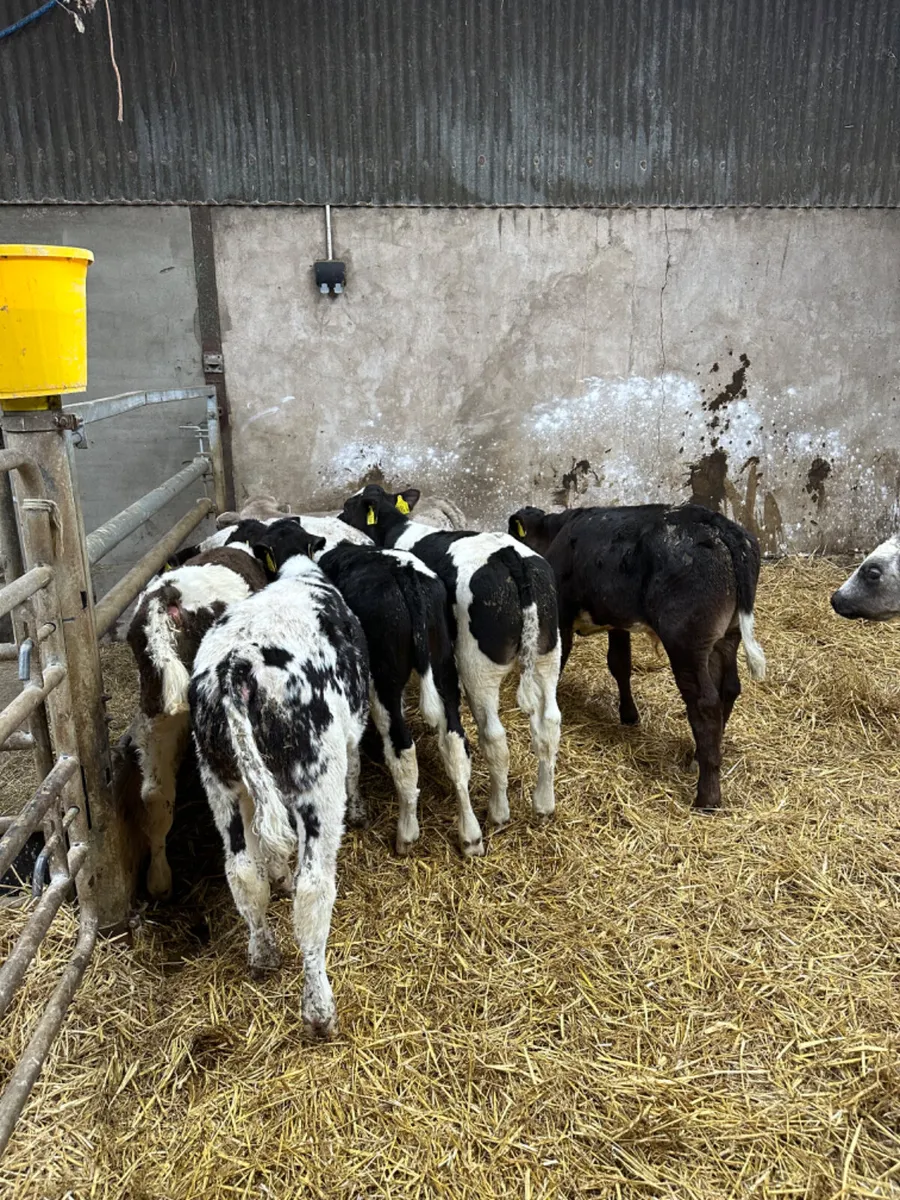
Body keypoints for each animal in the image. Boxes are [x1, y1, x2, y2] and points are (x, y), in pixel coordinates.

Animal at [189, 524, 369, 1038]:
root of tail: (240, 666)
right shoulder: (354, 729)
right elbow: (357, 768)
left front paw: (278, 875)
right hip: (317, 780)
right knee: (313, 892)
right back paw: (319, 1010)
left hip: (220, 781)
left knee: (242, 871)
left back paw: (264, 953)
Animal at [253, 519, 480, 855]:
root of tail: (405, 575)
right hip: (444, 668)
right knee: (455, 742)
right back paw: (471, 835)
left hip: (384, 683)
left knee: (402, 747)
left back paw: (406, 833)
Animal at [340, 485, 562, 832]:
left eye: (350, 506)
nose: (337, 517)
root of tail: (510, 557)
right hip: (548, 651)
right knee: (550, 723)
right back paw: (543, 802)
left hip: (477, 667)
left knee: (494, 736)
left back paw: (498, 811)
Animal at [508, 504, 766, 811]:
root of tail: (716, 523)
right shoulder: (617, 621)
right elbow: (619, 663)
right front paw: (629, 715)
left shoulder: (563, 613)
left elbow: (557, 665)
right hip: (727, 635)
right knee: (729, 688)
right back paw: (697, 757)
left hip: (686, 642)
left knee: (705, 703)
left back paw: (707, 796)